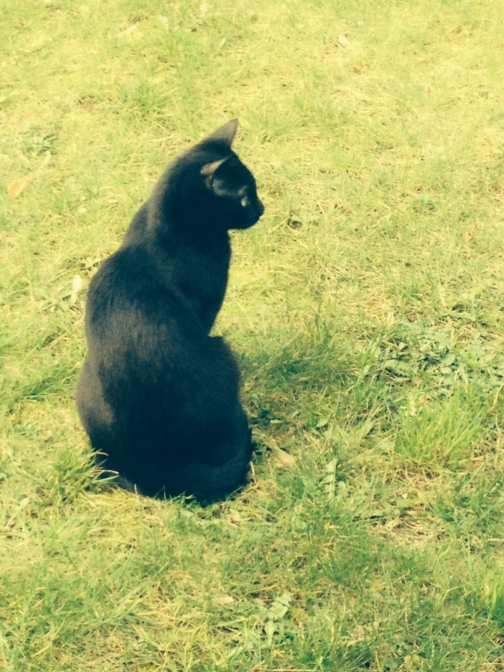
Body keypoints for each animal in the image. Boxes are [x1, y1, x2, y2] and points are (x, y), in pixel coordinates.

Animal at [76, 119, 264, 500]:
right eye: (244, 197)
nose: (262, 209)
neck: (163, 225)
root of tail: (158, 469)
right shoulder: (205, 313)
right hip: (222, 354)